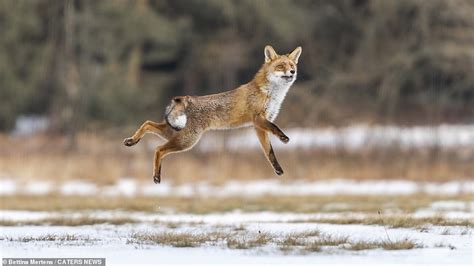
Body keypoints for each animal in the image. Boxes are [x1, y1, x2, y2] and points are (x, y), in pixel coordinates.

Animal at [124, 44, 302, 184]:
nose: (293, 71)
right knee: (158, 149)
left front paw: (277, 169)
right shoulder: (258, 119)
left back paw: (132, 141)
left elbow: (269, 152)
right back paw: (156, 175)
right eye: (281, 66)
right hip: (186, 140)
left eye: (291, 65)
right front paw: (284, 137)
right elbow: (275, 128)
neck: (270, 94)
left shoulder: (258, 127)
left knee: (148, 124)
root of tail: (184, 99)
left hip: (175, 133)